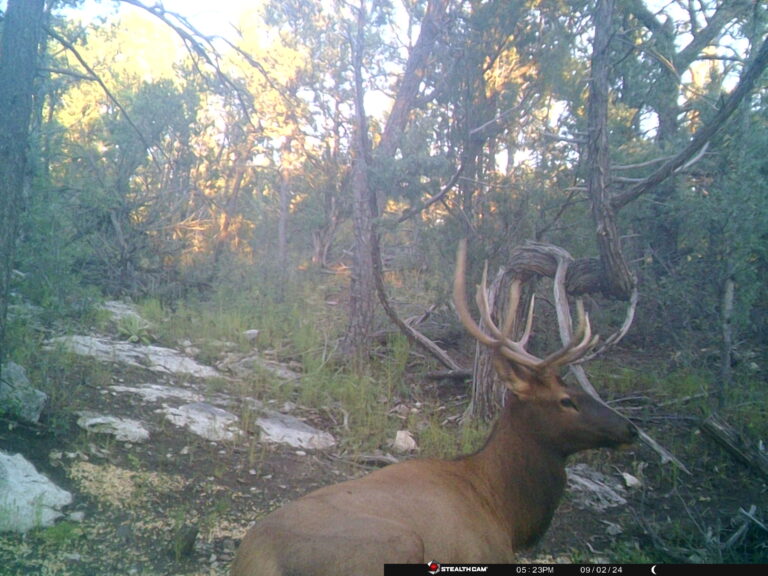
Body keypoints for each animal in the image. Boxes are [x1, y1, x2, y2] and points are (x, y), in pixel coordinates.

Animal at [231, 239, 638, 576]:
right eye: (566, 401)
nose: (630, 428)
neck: (505, 511)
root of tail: (253, 561)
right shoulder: (482, 553)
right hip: (395, 544)